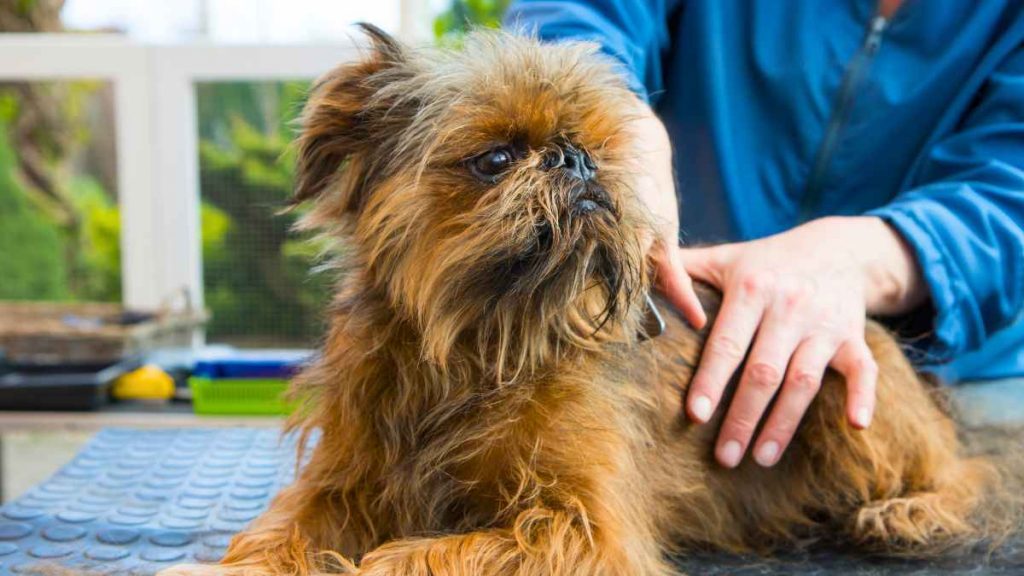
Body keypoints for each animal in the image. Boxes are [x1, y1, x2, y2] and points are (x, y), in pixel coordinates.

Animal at [167, 24, 999, 569]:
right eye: (495, 159)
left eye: (592, 150)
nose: (574, 161)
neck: (474, 347)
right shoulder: (341, 486)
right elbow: (275, 534)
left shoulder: (581, 528)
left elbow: (419, 555)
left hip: (841, 390)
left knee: (970, 472)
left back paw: (911, 509)